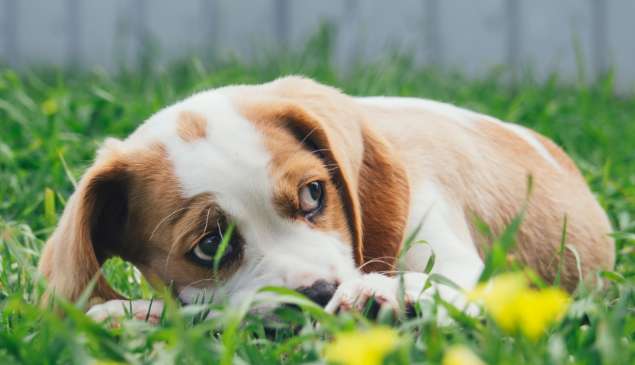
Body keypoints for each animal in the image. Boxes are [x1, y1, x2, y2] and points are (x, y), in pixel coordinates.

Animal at [36, 75, 616, 320]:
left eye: (314, 194)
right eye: (211, 247)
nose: (318, 293)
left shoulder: (447, 249)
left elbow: (444, 281)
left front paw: (388, 294)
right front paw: (135, 314)